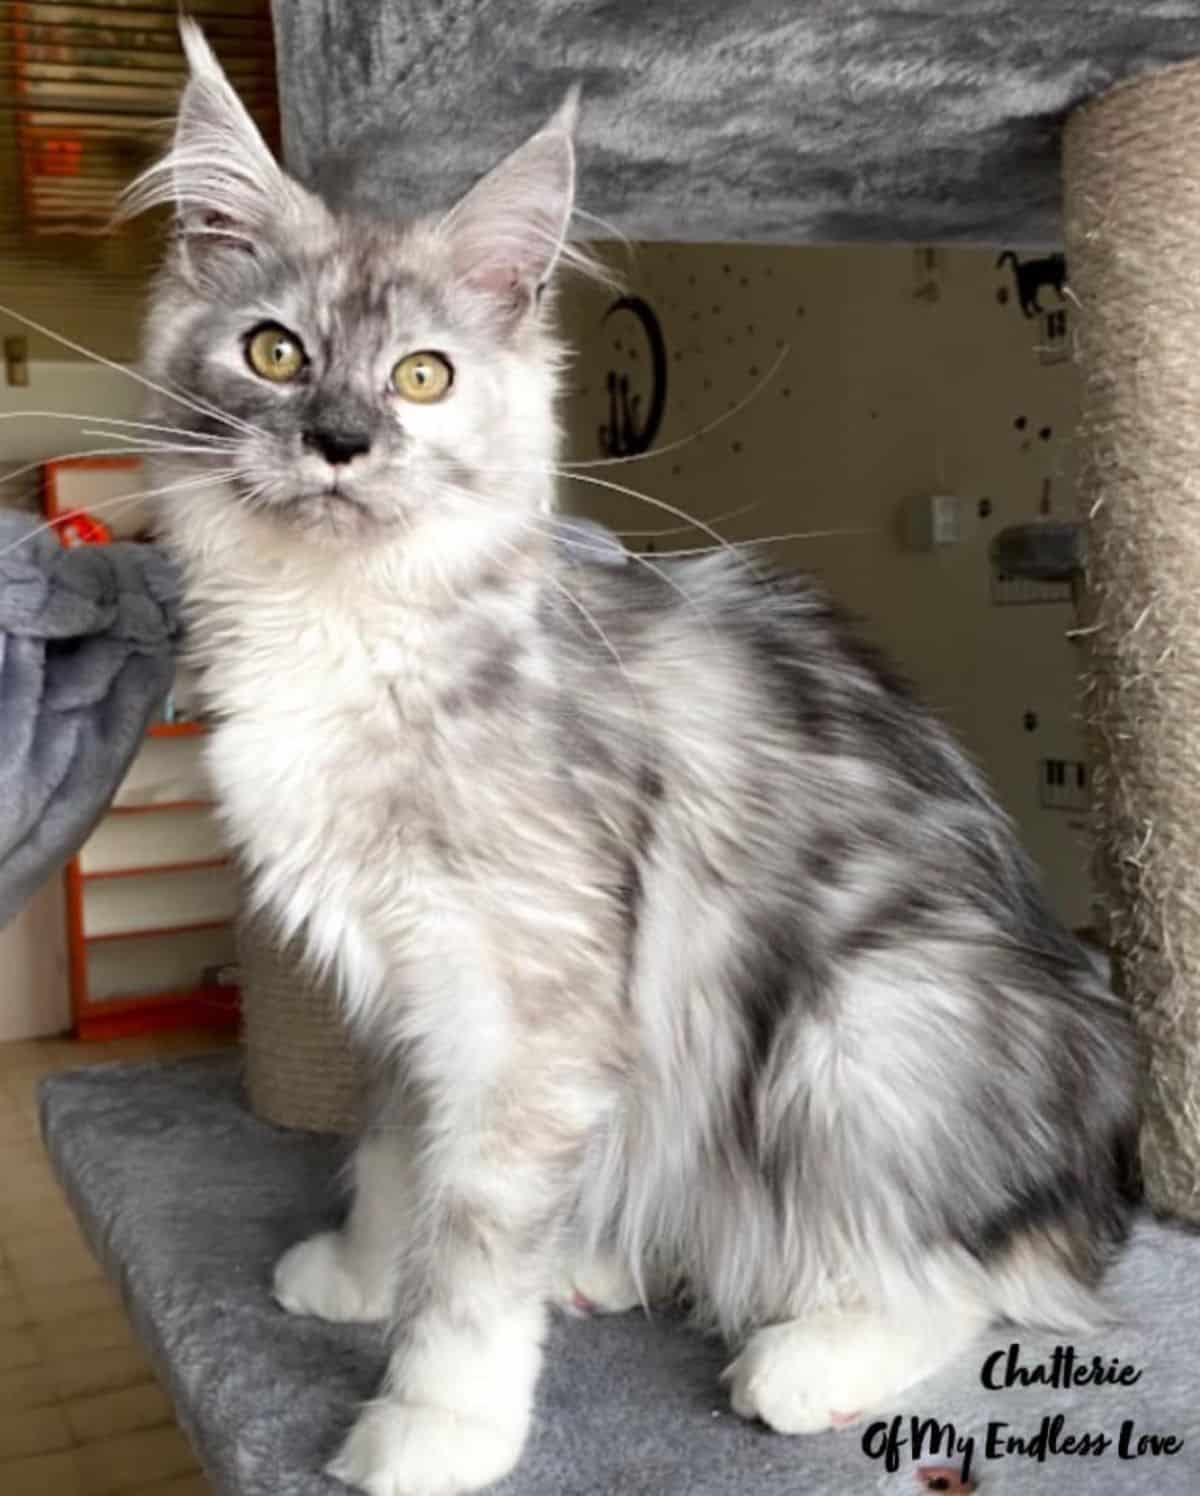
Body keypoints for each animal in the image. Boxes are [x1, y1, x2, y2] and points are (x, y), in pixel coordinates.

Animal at [118, 23, 1131, 1496]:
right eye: (274, 351)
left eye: (422, 376)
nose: (341, 441)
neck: (353, 627)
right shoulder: (414, 992)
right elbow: (398, 1156)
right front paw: (364, 1273)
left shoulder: (528, 996)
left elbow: (472, 1242)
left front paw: (434, 1421)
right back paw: (604, 1263)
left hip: (869, 1017)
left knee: (976, 1271)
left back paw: (809, 1352)